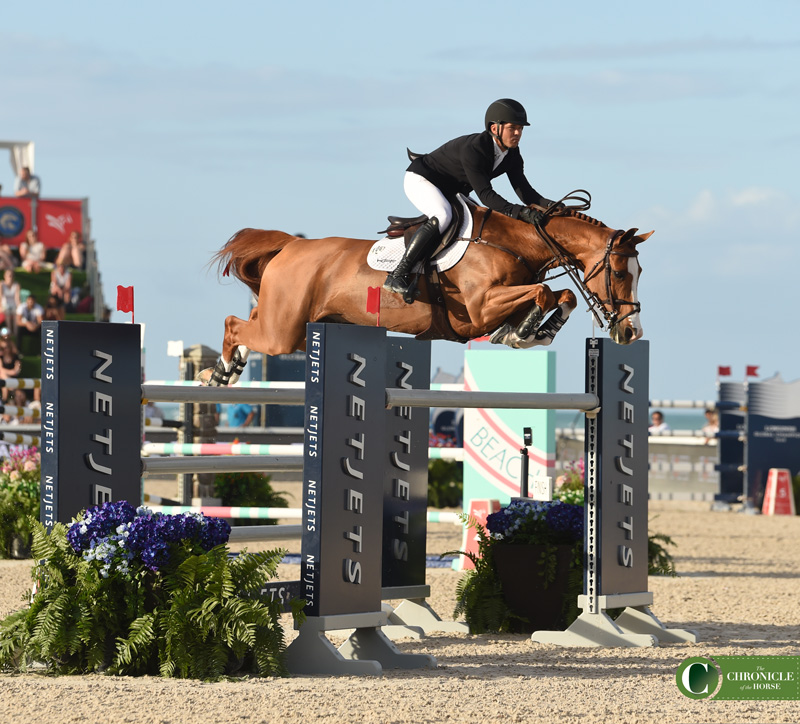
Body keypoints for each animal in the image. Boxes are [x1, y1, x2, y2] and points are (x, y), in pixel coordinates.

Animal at [203, 198, 652, 388]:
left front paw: (529, 331)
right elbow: (543, 291)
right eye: (618, 271)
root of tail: (291, 246)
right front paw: (524, 332)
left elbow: (563, 296)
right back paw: (220, 371)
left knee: (246, 324)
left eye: (639, 271)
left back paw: (231, 368)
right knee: (234, 324)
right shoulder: (479, 309)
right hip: (284, 332)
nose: (632, 332)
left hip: (294, 327)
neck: (514, 243)